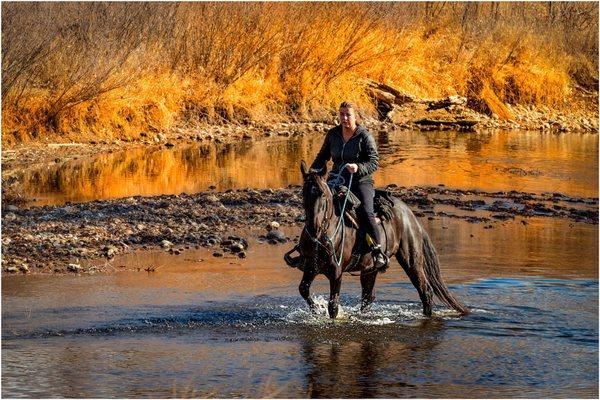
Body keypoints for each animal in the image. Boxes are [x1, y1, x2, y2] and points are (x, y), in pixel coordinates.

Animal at [288, 159, 472, 318]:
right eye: (304, 193)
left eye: (323, 194)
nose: (314, 228)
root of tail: (410, 215)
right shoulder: (311, 266)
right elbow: (303, 289)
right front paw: (316, 310)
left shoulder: (336, 271)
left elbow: (333, 306)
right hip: (370, 269)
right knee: (368, 297)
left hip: (411, 261)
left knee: (424, 291)